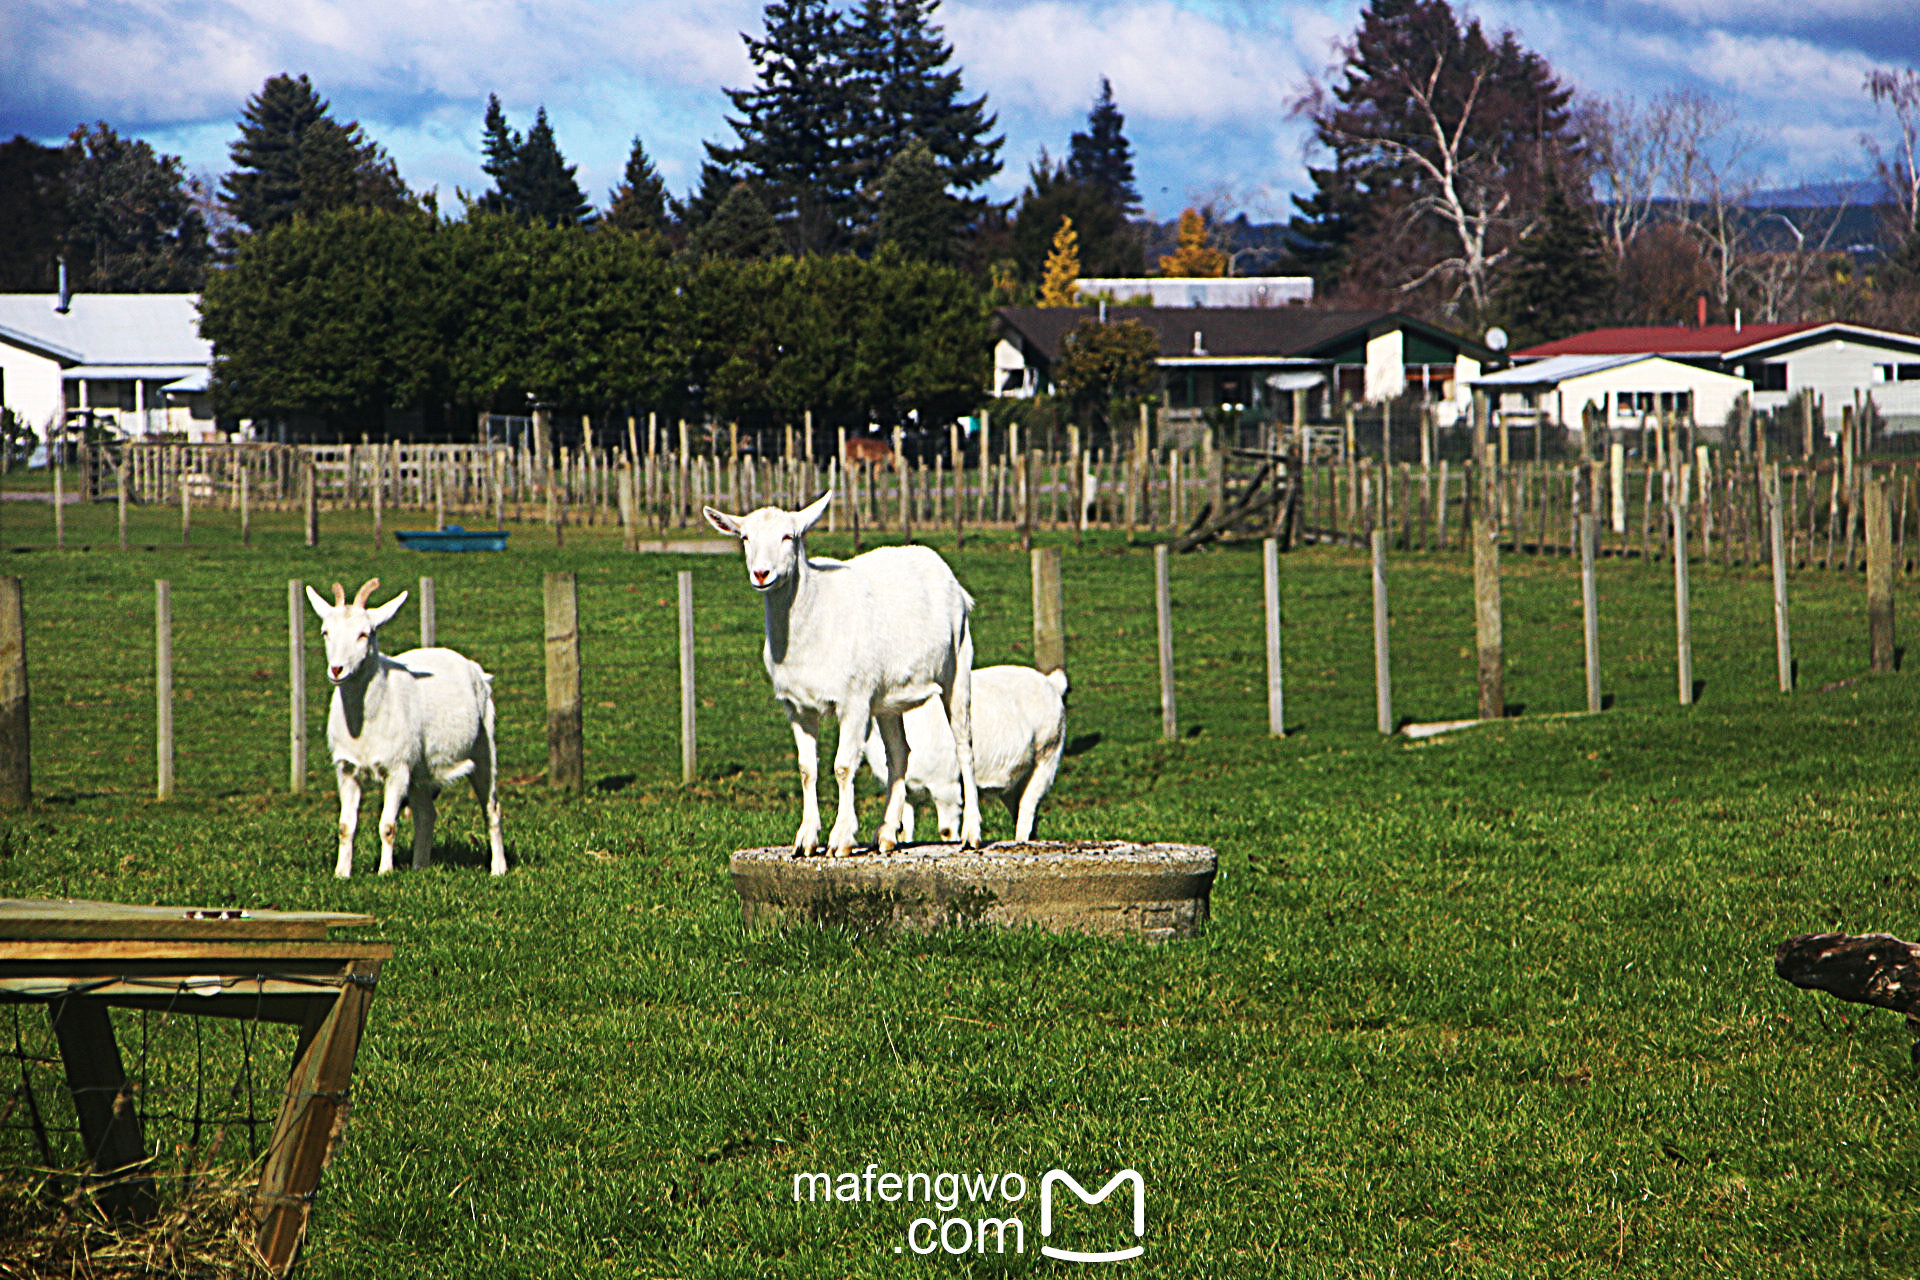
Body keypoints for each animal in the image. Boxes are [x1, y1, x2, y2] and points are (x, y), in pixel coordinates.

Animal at [303, 579, 506, 882]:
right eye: (325, 631)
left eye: (365, 634)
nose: (337, 669)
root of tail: (475, 670)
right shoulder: (346, 768)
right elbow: (345, 826)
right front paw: (341, 873)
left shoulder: (397, 766)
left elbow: (388, 825)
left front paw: (385, 871)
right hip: (421, 766)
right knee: (426, 813)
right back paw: (419, 866)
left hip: (483, 745)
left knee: (491, 808)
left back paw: (498, 869)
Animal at [867, 667, 1075, 844]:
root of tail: (1052, 683)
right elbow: (903, 832)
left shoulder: (946, 787)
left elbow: (947, 831)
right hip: (1015, 783)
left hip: (1048, 755)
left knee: (1027, 808)